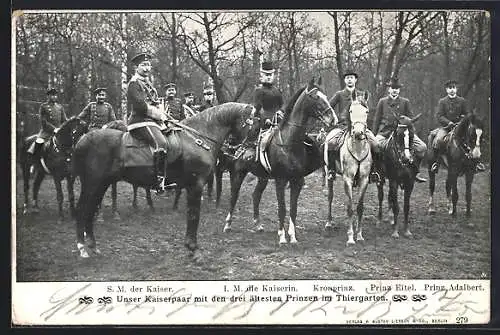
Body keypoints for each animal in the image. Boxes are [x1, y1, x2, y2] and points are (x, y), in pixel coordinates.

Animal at [71, 102, 258, 260]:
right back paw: (82, 248)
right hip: (92, 184)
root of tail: (82, 140)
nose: (250, 154)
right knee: (81, 210)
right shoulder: (195, 186)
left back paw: (93, 246)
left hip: (101, 185)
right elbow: (194, 215)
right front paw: (193, 249)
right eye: (255, 126)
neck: (198, 138)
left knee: (89, 210)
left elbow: (191, 214)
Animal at [222, 80, 336, 245]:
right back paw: (228, 225)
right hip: (238, 173)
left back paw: (258, 225)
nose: (332, 118)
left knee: (256, 196)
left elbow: (293, 209)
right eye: (315, 97)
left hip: (262, 177)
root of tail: (238, 145)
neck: (289, 143)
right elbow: (282, 208)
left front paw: (293, 237)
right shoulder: (280, 181)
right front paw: (282, 237)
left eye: (325, 96)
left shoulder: (296, 181)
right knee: (234, 196)